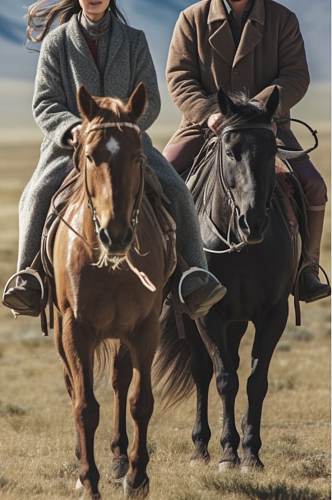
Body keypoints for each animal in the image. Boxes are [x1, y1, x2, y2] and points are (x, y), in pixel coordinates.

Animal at [52, 84, 171, 498]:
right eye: (90, 155)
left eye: (137, 156)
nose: (115, 234)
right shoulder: (76, 329)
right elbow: (85, 405)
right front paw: (89, 479)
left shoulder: (146, 328)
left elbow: (140, 401)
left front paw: (137, 476)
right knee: (73, 386)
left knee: (120, 382)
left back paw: (120, 456)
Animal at [154, 87, 300, 472]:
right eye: (231, 151)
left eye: (273, 150)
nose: (253, 222)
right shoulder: (209, 314)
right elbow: (223, 379)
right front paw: (228, 453)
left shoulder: (273, 314)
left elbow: (255, 381)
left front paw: (251, 452)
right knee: (202, 371)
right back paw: (201, 447)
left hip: (237, 320)